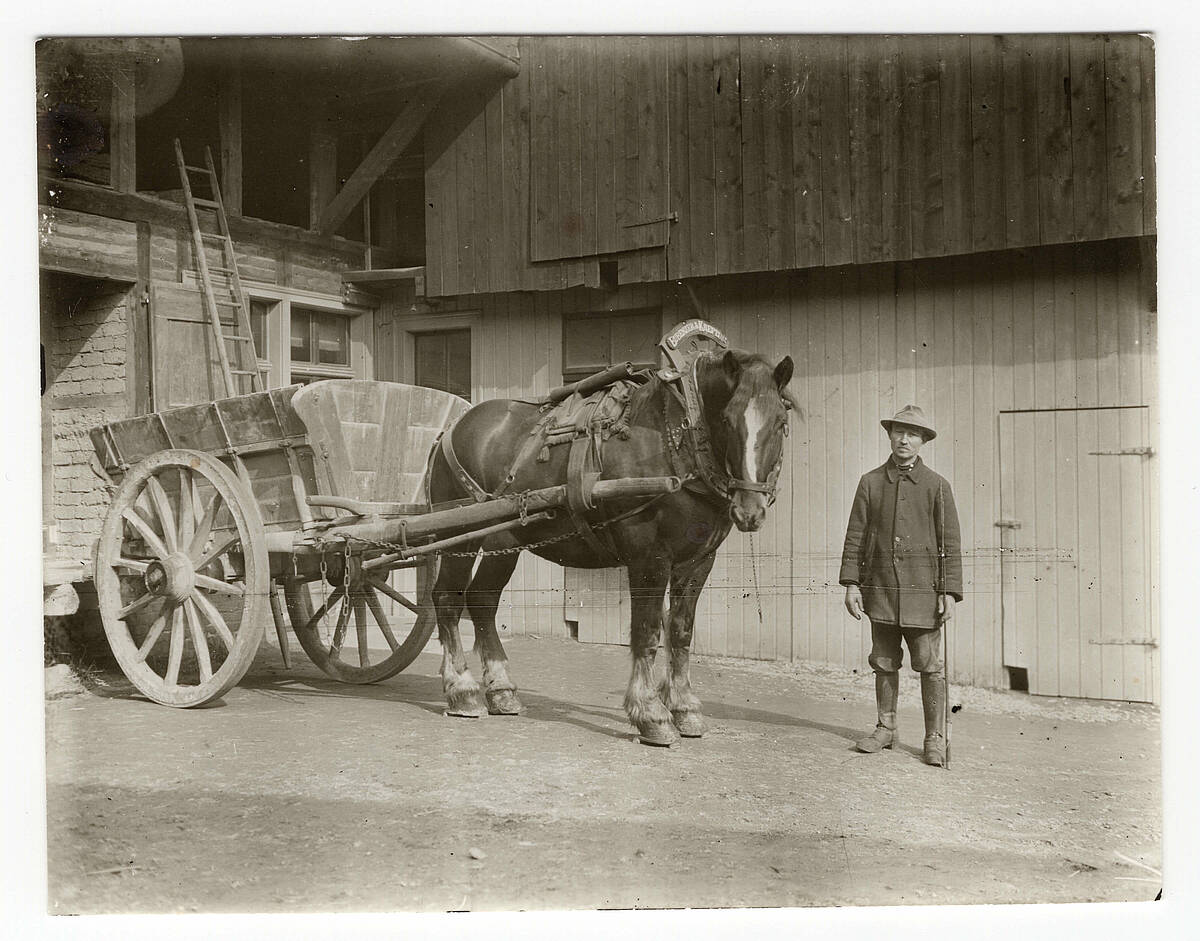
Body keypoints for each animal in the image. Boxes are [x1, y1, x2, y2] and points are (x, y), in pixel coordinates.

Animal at [424, 345, 796, 744]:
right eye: (726, 420)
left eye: (780, 422)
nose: (749, 511)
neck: (676, 444)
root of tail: (453, 428)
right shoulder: (649, 559)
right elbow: (647, 632)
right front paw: (651, 715)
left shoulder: (698, 561)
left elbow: (681, 632)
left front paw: (685, 708)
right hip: (459, 536)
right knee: (447, 598)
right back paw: (462, 690)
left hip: (504, 540)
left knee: (482, 601)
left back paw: (501, 690)